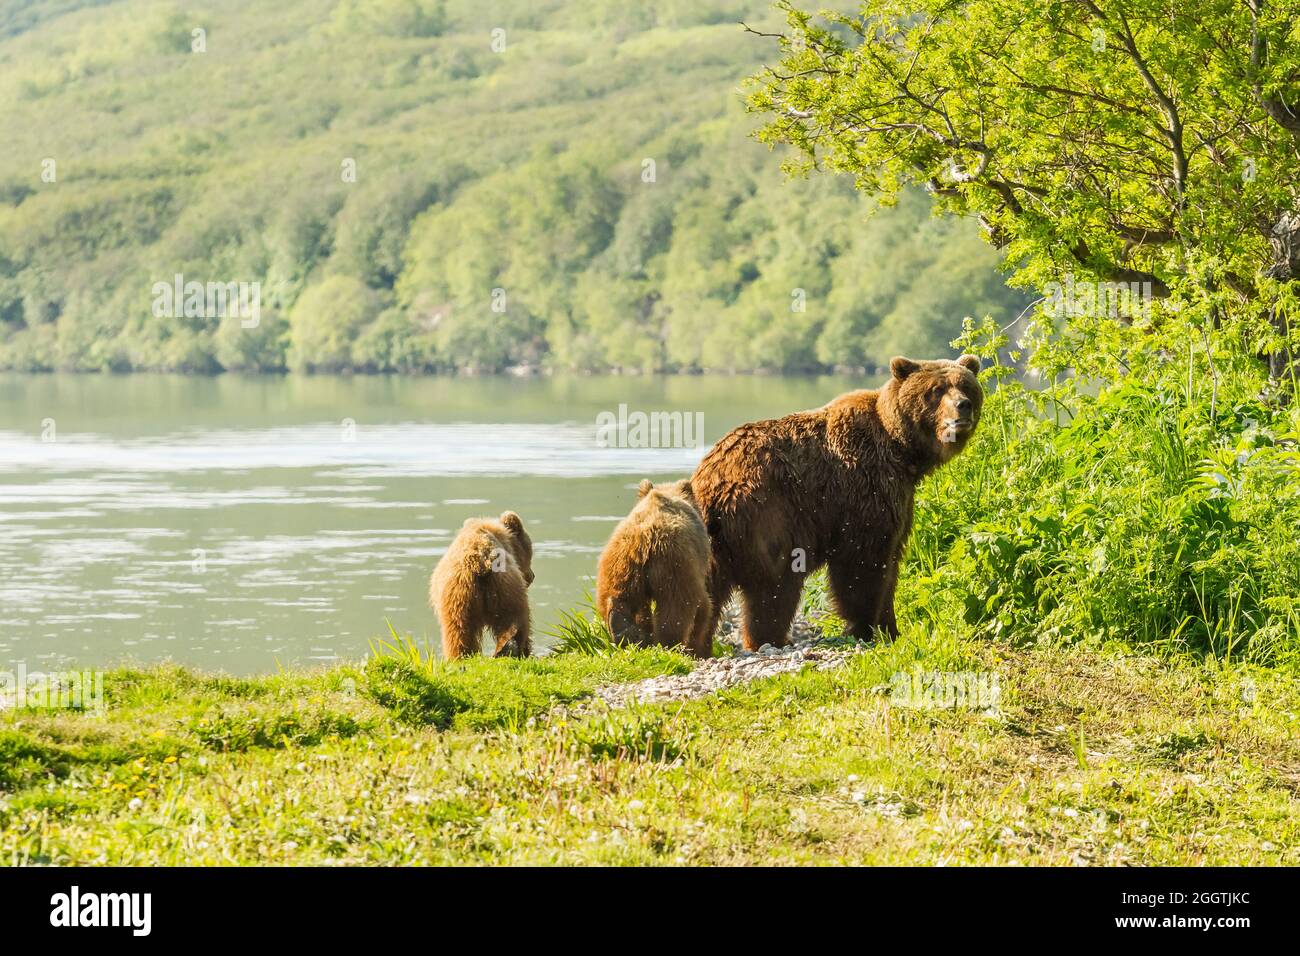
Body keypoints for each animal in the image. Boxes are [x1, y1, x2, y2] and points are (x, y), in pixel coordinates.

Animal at [691, 356, 982, 655]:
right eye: (936, 389)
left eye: (966, 386)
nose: (963, 405)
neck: (902, 452)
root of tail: (712, 479)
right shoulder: (862, 486)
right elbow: (862, 565)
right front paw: (864, 627)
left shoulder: (900, 499)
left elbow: (891, 564)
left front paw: (891, 629)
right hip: (771, 512)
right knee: (775, 585)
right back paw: (773, 639)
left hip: (714, 540)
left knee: (707, 590)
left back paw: (698, 644)